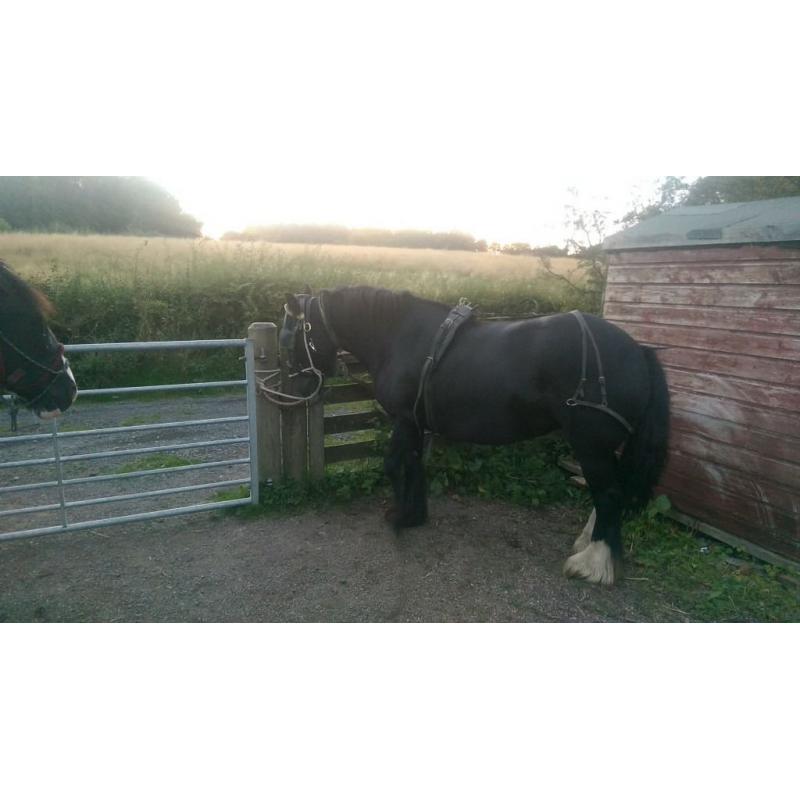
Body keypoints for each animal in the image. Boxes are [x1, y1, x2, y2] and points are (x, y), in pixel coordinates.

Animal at [281, 286, 670, 585]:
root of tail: (637, 351)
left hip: (590, 444)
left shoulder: (404, 420)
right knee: (608, 494)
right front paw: (416, 515)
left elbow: (394, 465)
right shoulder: (417, 423)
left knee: (608, 494)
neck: (398, 335)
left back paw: (593, 564)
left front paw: (400, 517)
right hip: (603, 448)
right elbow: (415, 465)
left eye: (293, 337)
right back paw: (590, 544)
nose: (298, 387)